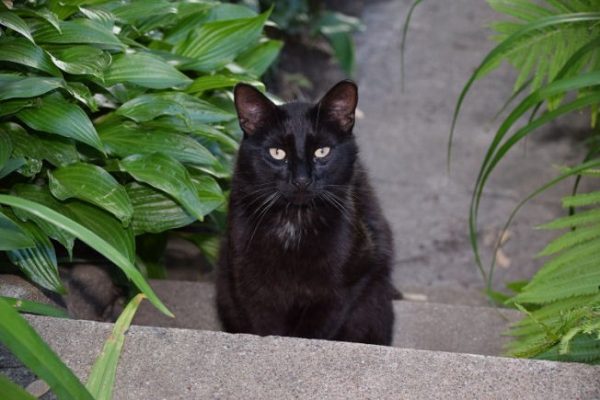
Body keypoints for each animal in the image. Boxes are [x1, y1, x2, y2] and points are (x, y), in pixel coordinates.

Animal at [214, 80, 394, 344]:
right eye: (277, 153)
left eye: (322, 151)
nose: (301, 180)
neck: (293, 221)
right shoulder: (249, 285)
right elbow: (264, 327)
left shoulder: (341, 288)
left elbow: (313, 332)